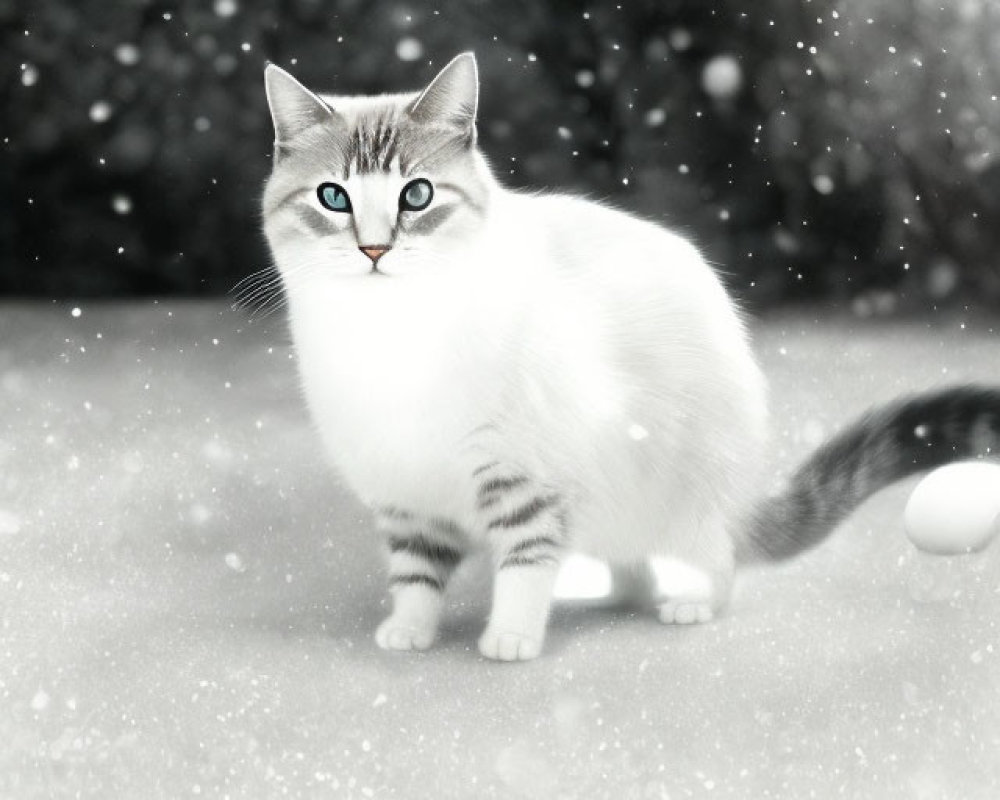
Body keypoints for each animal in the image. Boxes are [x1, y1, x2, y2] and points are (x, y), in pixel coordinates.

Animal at [260, 51, 1000, 664]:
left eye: (416, 194)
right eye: (333, 196)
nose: (374, 249)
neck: (390, 336)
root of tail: (736, 501)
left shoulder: (527, 475)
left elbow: (525, 563)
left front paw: (511, 637)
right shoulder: (404, 491)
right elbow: (415, 573)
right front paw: (411, 630)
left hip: (683, 501)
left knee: (715, 561)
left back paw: (689, 601)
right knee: (629, 568)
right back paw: (601, 591)